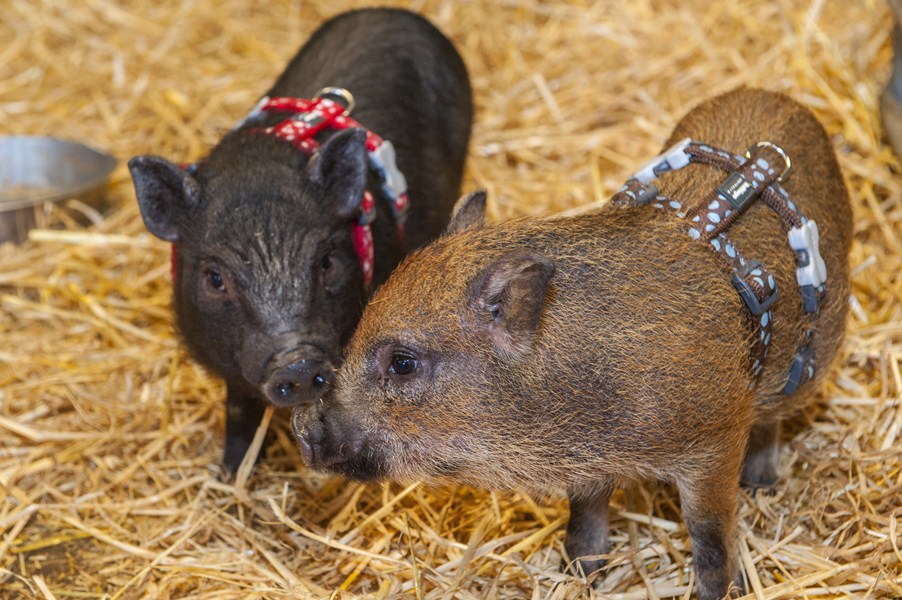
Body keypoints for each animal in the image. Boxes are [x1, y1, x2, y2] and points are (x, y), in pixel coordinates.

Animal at [128, 7, 474, 472]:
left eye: (327, 262)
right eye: (215, 279)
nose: (297, 362)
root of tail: (394, 10)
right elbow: (239, 411)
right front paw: (232, 473)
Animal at [294, 89, 852, 600]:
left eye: (404, 364)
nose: (303, 425)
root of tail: (784, 100)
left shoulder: (714, 439)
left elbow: (710, 535)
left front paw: (719, 590)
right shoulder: (591, 464)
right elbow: (585, 513)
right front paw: (579, 573)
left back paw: (761, 483)